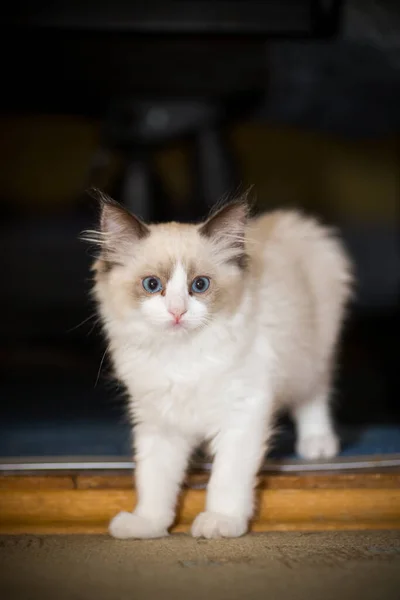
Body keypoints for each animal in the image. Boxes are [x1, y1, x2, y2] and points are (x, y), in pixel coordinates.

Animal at [87, 192, 354, 540]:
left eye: (199, 285)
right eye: (152, 285)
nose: (177, 312)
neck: (181, 357)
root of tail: (285, 219)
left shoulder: (243, 413)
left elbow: (226, 478)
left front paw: (220, 522)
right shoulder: (159, 422)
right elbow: (154, 481)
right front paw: (147, 524)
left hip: (312, 355)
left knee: (315, 395)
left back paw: (318, 444)